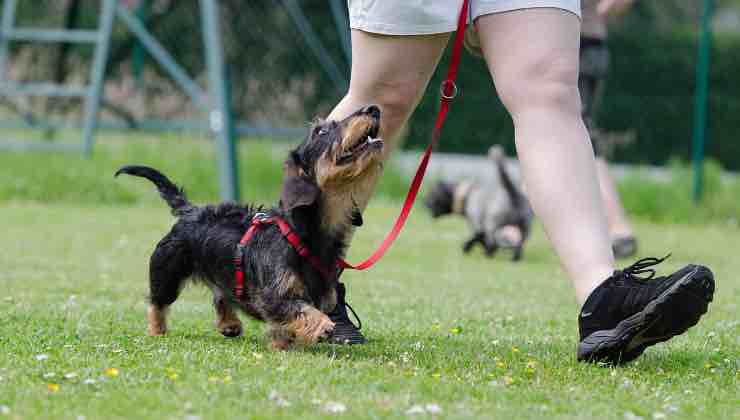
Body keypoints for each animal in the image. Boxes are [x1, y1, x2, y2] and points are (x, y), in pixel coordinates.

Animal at [117, 106, 382, 350]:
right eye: (321, 131)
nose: (373, 109)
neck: (303, 232)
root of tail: (190, 210)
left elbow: (288, 321)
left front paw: (283, 342)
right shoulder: (273, 296)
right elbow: (299, 310)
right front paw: (322, 326)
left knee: (220, 294)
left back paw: (229, 324)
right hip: (167, 271)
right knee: (157, 302)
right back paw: (157, 330)